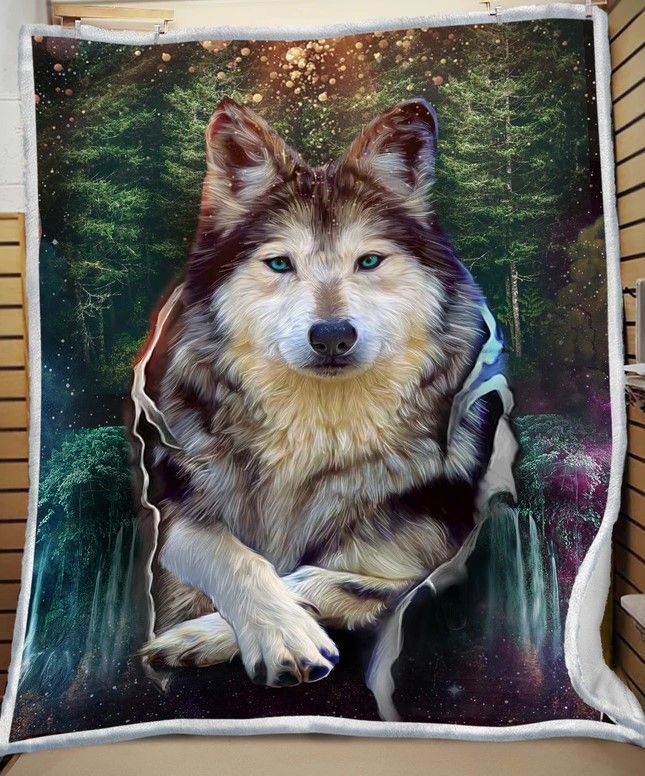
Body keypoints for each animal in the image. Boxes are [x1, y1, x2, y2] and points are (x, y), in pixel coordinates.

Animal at [135, 96, 513, 692]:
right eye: (280, 263)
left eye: (369, 261)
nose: (333, 335)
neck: (316, 438)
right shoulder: (175, 511)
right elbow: (238, 556)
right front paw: (278, 632)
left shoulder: (441, 557)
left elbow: (326, 578)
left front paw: (205, 635)